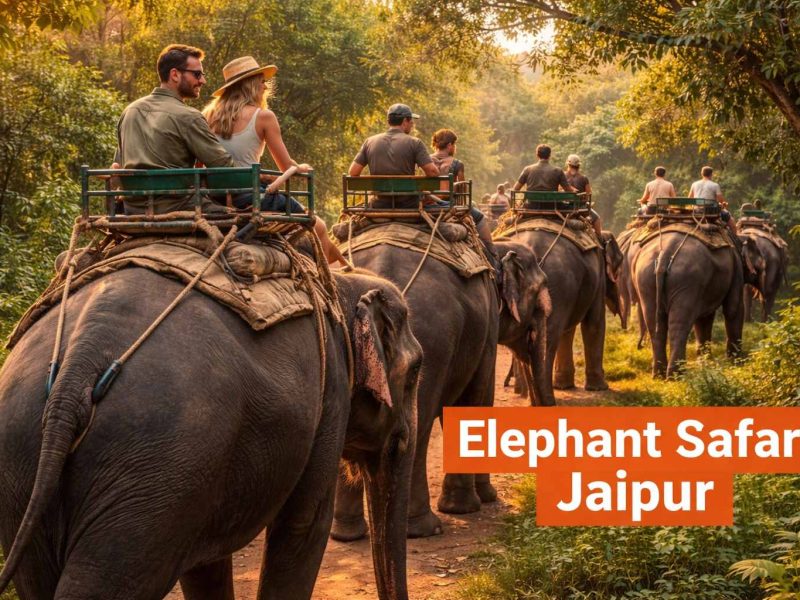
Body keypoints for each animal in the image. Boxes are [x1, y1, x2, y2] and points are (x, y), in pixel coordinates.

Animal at [0, 266, 422, 600]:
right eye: (417, 369)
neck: (341, 282)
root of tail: (76, 367)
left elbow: (205, 563)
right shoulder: (329, 392)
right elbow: (302, 526)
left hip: (26, 460)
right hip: (156, 464)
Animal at [332, 239, 499, 541]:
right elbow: (476, 396)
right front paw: (470, 506)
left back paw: (346, 534)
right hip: (435, 339)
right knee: (420, 430)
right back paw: (425, 528)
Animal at [497, 226, 622, 405]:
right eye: (621, 261)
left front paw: (564, 386)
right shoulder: (597, 281)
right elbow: (594, 322)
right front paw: (599, 388)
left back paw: (527, 397)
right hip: (558, 287)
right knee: (550, 339)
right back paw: (546, 401)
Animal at [630, 230, 763, 377]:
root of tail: (665, 254)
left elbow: (704, 318)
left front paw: (706, 361)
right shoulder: (736, 269)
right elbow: (733, 309)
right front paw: (736, 361)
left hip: (645, 279)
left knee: (654, 324)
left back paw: (659, 374)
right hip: (686, 280)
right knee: (679, 324)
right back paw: (676, 375)